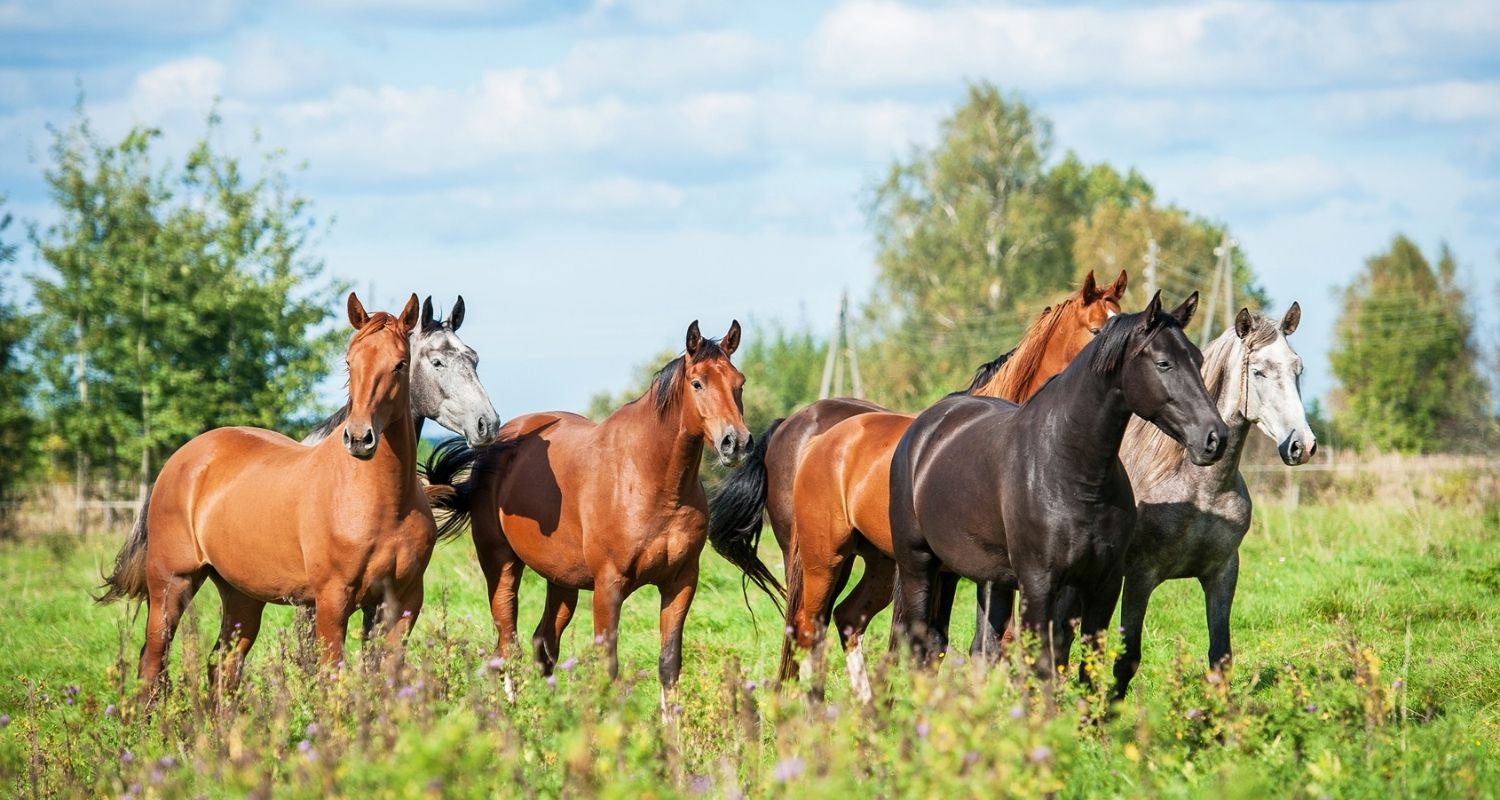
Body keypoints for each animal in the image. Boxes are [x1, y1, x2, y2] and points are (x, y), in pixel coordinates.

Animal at [97, 292, 438, 693]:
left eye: (400, 364)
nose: (359, 438)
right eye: (349, 362)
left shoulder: (404, 602)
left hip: (241, 595)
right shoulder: (332, 600)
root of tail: (179, 461)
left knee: (222, 666)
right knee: (153, 663)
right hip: (171, 584)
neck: (382, 503)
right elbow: (332, 678)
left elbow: (387, 678)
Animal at [423, 318, 750, 693]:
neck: (653, 481)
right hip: (501, 563)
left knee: (543, 643)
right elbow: (608, 665)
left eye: (739, 383)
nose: (736, 442)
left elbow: (669, 664)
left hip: (561, 581)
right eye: (697, 383)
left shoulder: (681, 583)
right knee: (506, 644)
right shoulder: (609, 587)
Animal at [888, 292, 1230, 687]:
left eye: (1199, 359)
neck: (1071, 471)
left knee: (982, 647)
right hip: (919, 564)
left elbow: (1086, 667)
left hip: (990, 579)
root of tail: (925, 426)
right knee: (920, 643)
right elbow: (1041, 665)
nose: (1215, 437)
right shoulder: (1039, 584)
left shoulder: (1102, 584)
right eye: (1163, 363)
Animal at [1110, 303, 1320, 696]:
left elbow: (1220, 656)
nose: (1302, 445)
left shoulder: (1222, 571)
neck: (1200, 490)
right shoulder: (1140, 575)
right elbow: (1126, 659)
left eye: (1297, 368)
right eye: (1258, 371)